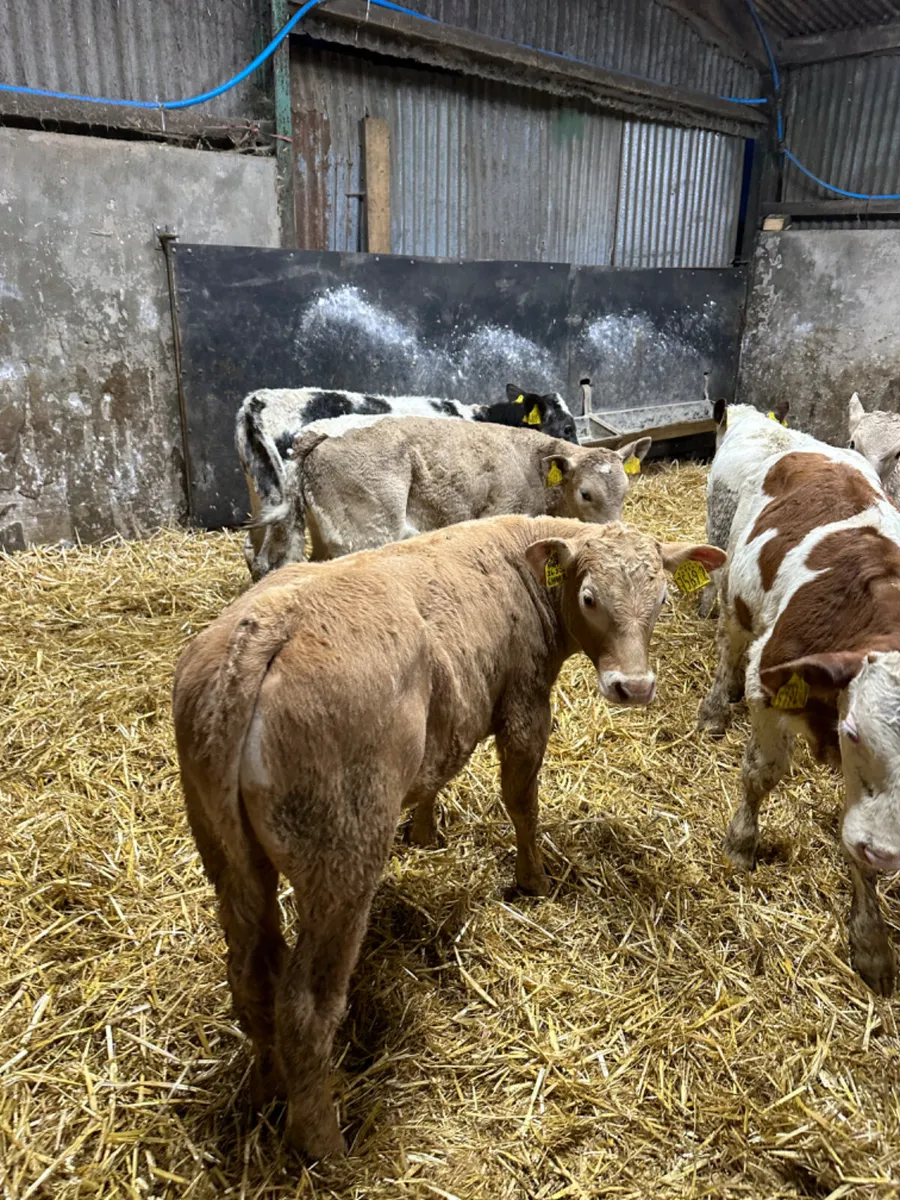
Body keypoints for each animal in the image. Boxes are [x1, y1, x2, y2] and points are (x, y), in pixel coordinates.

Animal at [172, 513, 726, 1158]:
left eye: (662, 599)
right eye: (590, 597)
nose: (633, 687)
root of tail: (264, 629)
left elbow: (435, 778)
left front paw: (427, 833)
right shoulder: (524, 702)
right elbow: (521, 800)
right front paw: (534, 881)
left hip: (228, 856)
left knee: (251, 976)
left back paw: (264, 1090)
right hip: (341, 859)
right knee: (306, 1007)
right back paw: (326, 1144)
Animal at [254, 416, 652, 570]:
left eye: (625, 490)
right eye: (586, 494)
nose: (613, 533)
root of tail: (317, 433)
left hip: (328, 535)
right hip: (365, 534)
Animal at [697, 402, 900, 995]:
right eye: (854, 731)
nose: (885, 853)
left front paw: (871, 941)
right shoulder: (769, 678)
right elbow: (760, 774)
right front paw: (741, 844)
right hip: (734, 588)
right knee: (728, 642)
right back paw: (715, 708)